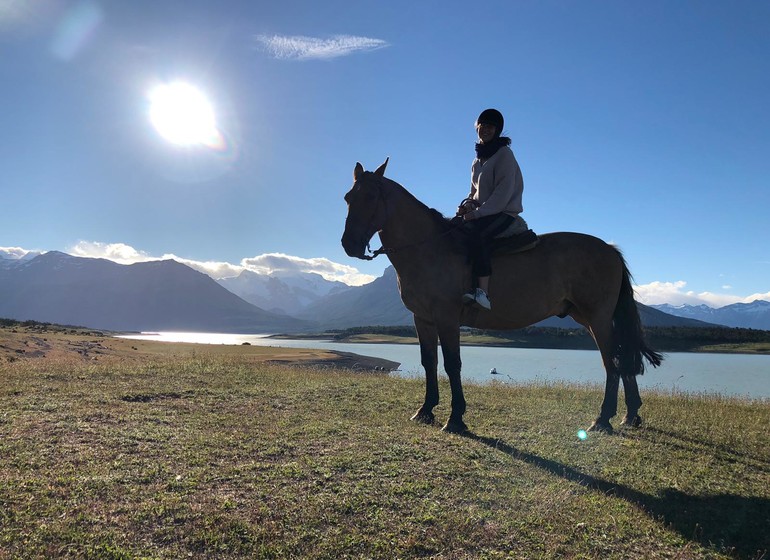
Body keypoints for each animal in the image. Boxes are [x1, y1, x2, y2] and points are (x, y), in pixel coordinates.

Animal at [340, 158, 660, 434]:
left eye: (371, 197)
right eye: (348, 198)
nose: (349, 245)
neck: (429, 248)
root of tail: (610, 250)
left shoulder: (447, 318)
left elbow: (452, 364)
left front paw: (456, 418)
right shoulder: (423, 319)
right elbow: (428, 362)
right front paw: (426, 410)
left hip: (599, 318)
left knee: (612, 363)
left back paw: (603, 419)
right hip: (590, 318)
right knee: (621, 358)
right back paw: (630, 415)